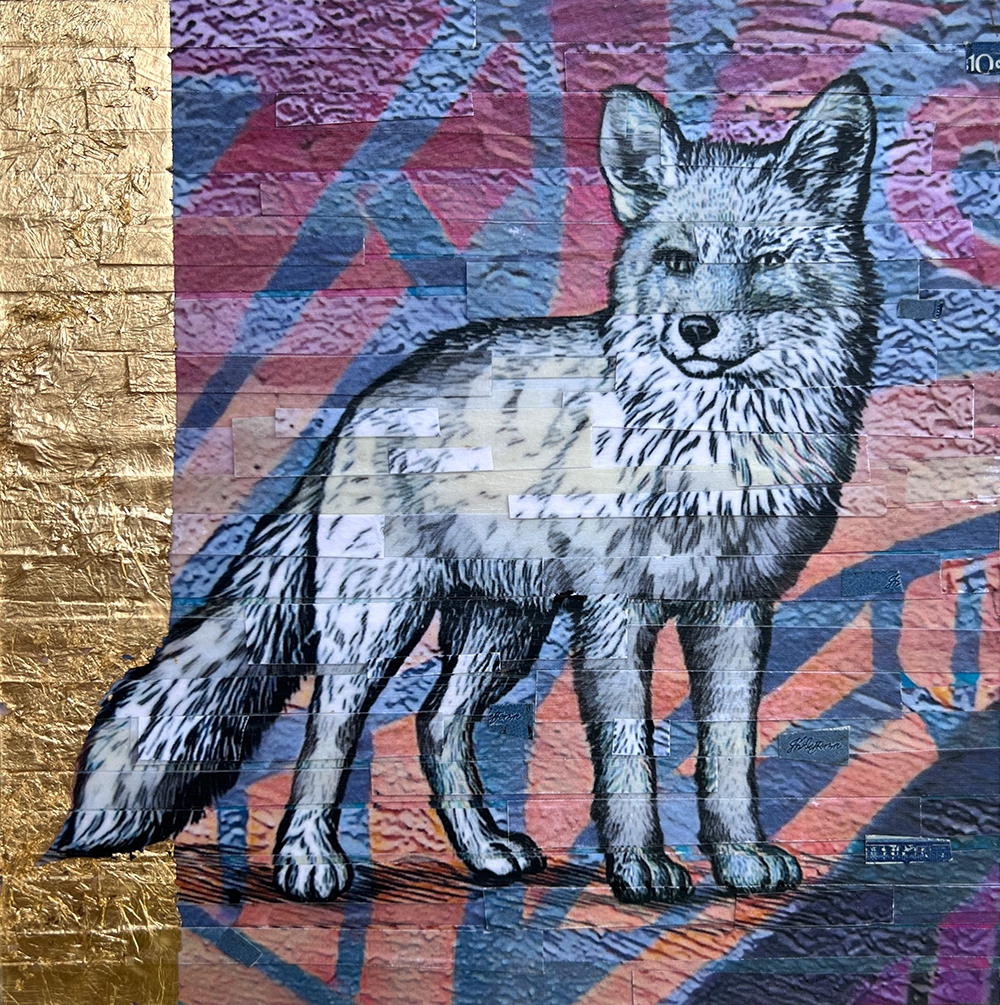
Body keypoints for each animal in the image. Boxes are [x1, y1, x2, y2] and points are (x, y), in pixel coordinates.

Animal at [45, 73, 879, 905]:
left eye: (767, 259)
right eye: (676, 260)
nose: (697, 329)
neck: (713, 446)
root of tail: (366, 399)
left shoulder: (736, 608)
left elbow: (730, 752)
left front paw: (739, 856)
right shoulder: (615, 611)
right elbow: (627, 757)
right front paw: (640, 863)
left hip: (505, 628)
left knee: (435, 723)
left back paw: (482, 848)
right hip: (379, 618)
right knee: (329, 723)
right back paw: (309, 858)